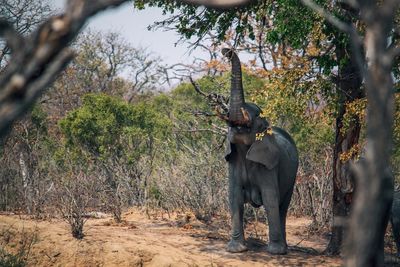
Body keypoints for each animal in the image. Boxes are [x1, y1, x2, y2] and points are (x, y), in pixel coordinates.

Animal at [220, 49, 298, 256]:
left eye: (255, 116)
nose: (225, 51)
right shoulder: (233, 162)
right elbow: (234, 197)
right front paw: (236, 249)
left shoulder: (269, 165)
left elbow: (271, 199)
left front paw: (275, 252)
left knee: (283, 206)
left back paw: (283, 249)